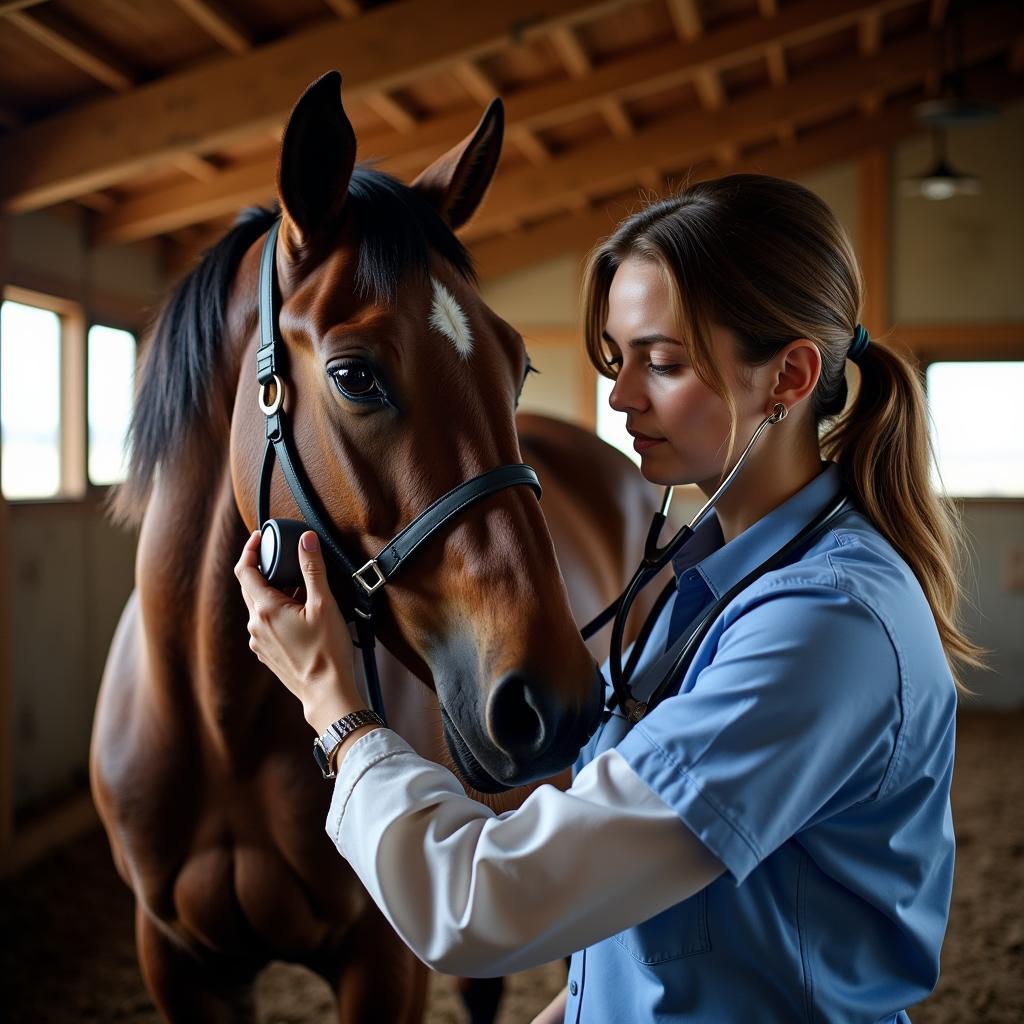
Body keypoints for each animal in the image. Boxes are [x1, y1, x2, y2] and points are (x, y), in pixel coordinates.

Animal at [92, 74, 659, 1024]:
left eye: (518, 367)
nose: (552, 700)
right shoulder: (177, 961)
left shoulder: (385, 959)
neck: (219, 726)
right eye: (355, 374)